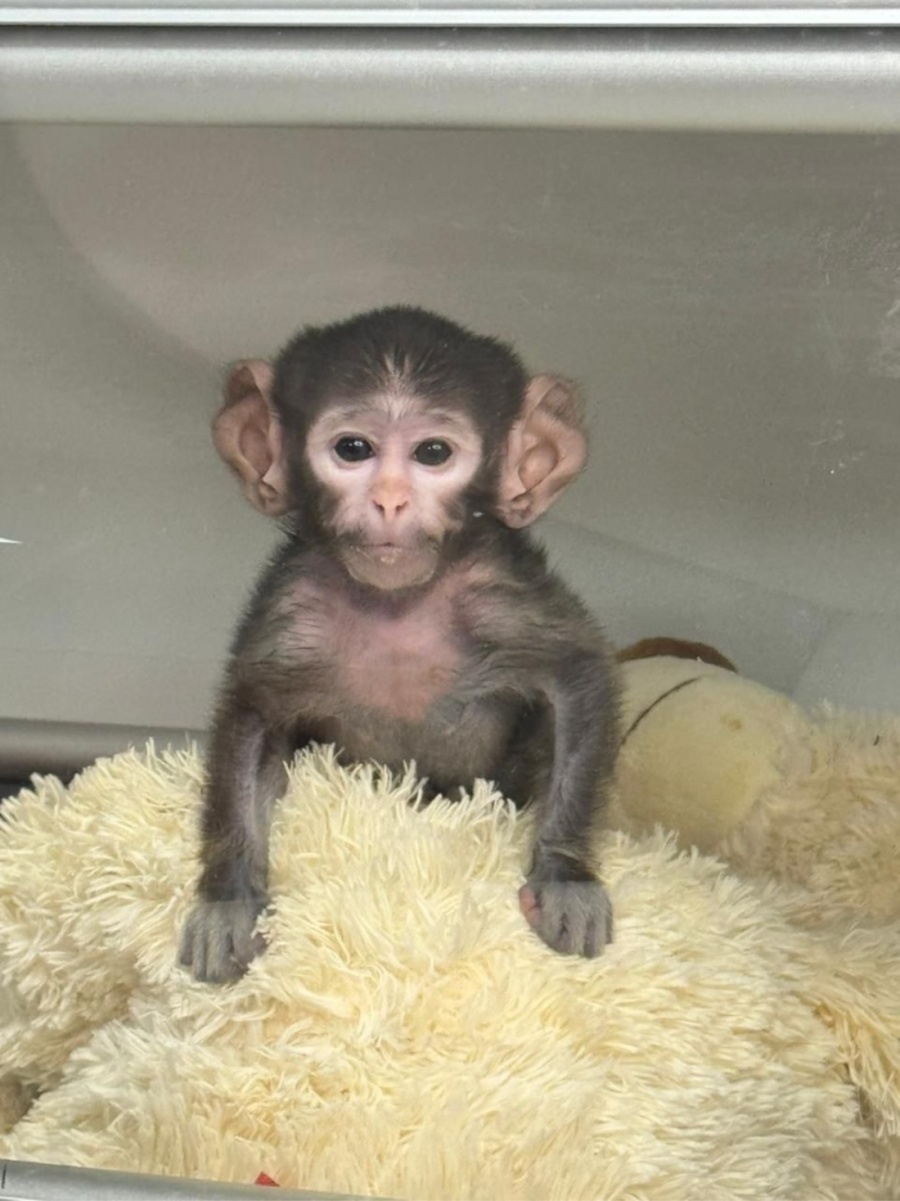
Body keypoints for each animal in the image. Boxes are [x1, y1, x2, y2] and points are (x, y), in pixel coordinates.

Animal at [179, 305, 621, 984]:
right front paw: (228, 900)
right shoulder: (293, 607)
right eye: (352, 449)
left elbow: (577, 678)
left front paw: (566, 879)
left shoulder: (499, 591)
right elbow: (252, 715)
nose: (389, 500)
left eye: (433, 453)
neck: (396, 606)